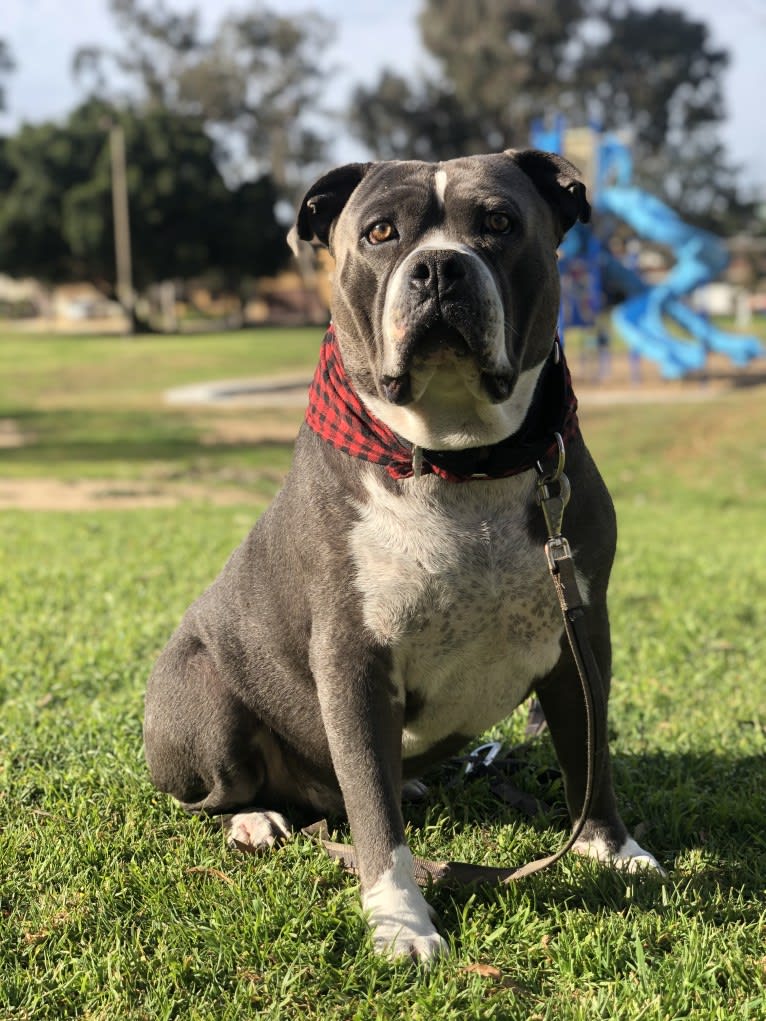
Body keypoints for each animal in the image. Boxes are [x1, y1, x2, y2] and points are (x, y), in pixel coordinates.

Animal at [144, 148, 661, 959]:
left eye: (500, 223)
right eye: (381, 232)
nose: (440, 267)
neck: (461, 462)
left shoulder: (582, 634)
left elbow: (589, 757)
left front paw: (613, 849)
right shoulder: (353, 659)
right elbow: (377, 822)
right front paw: (401, 920)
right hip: (202, 699)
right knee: (225, 792)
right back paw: (255, 818)